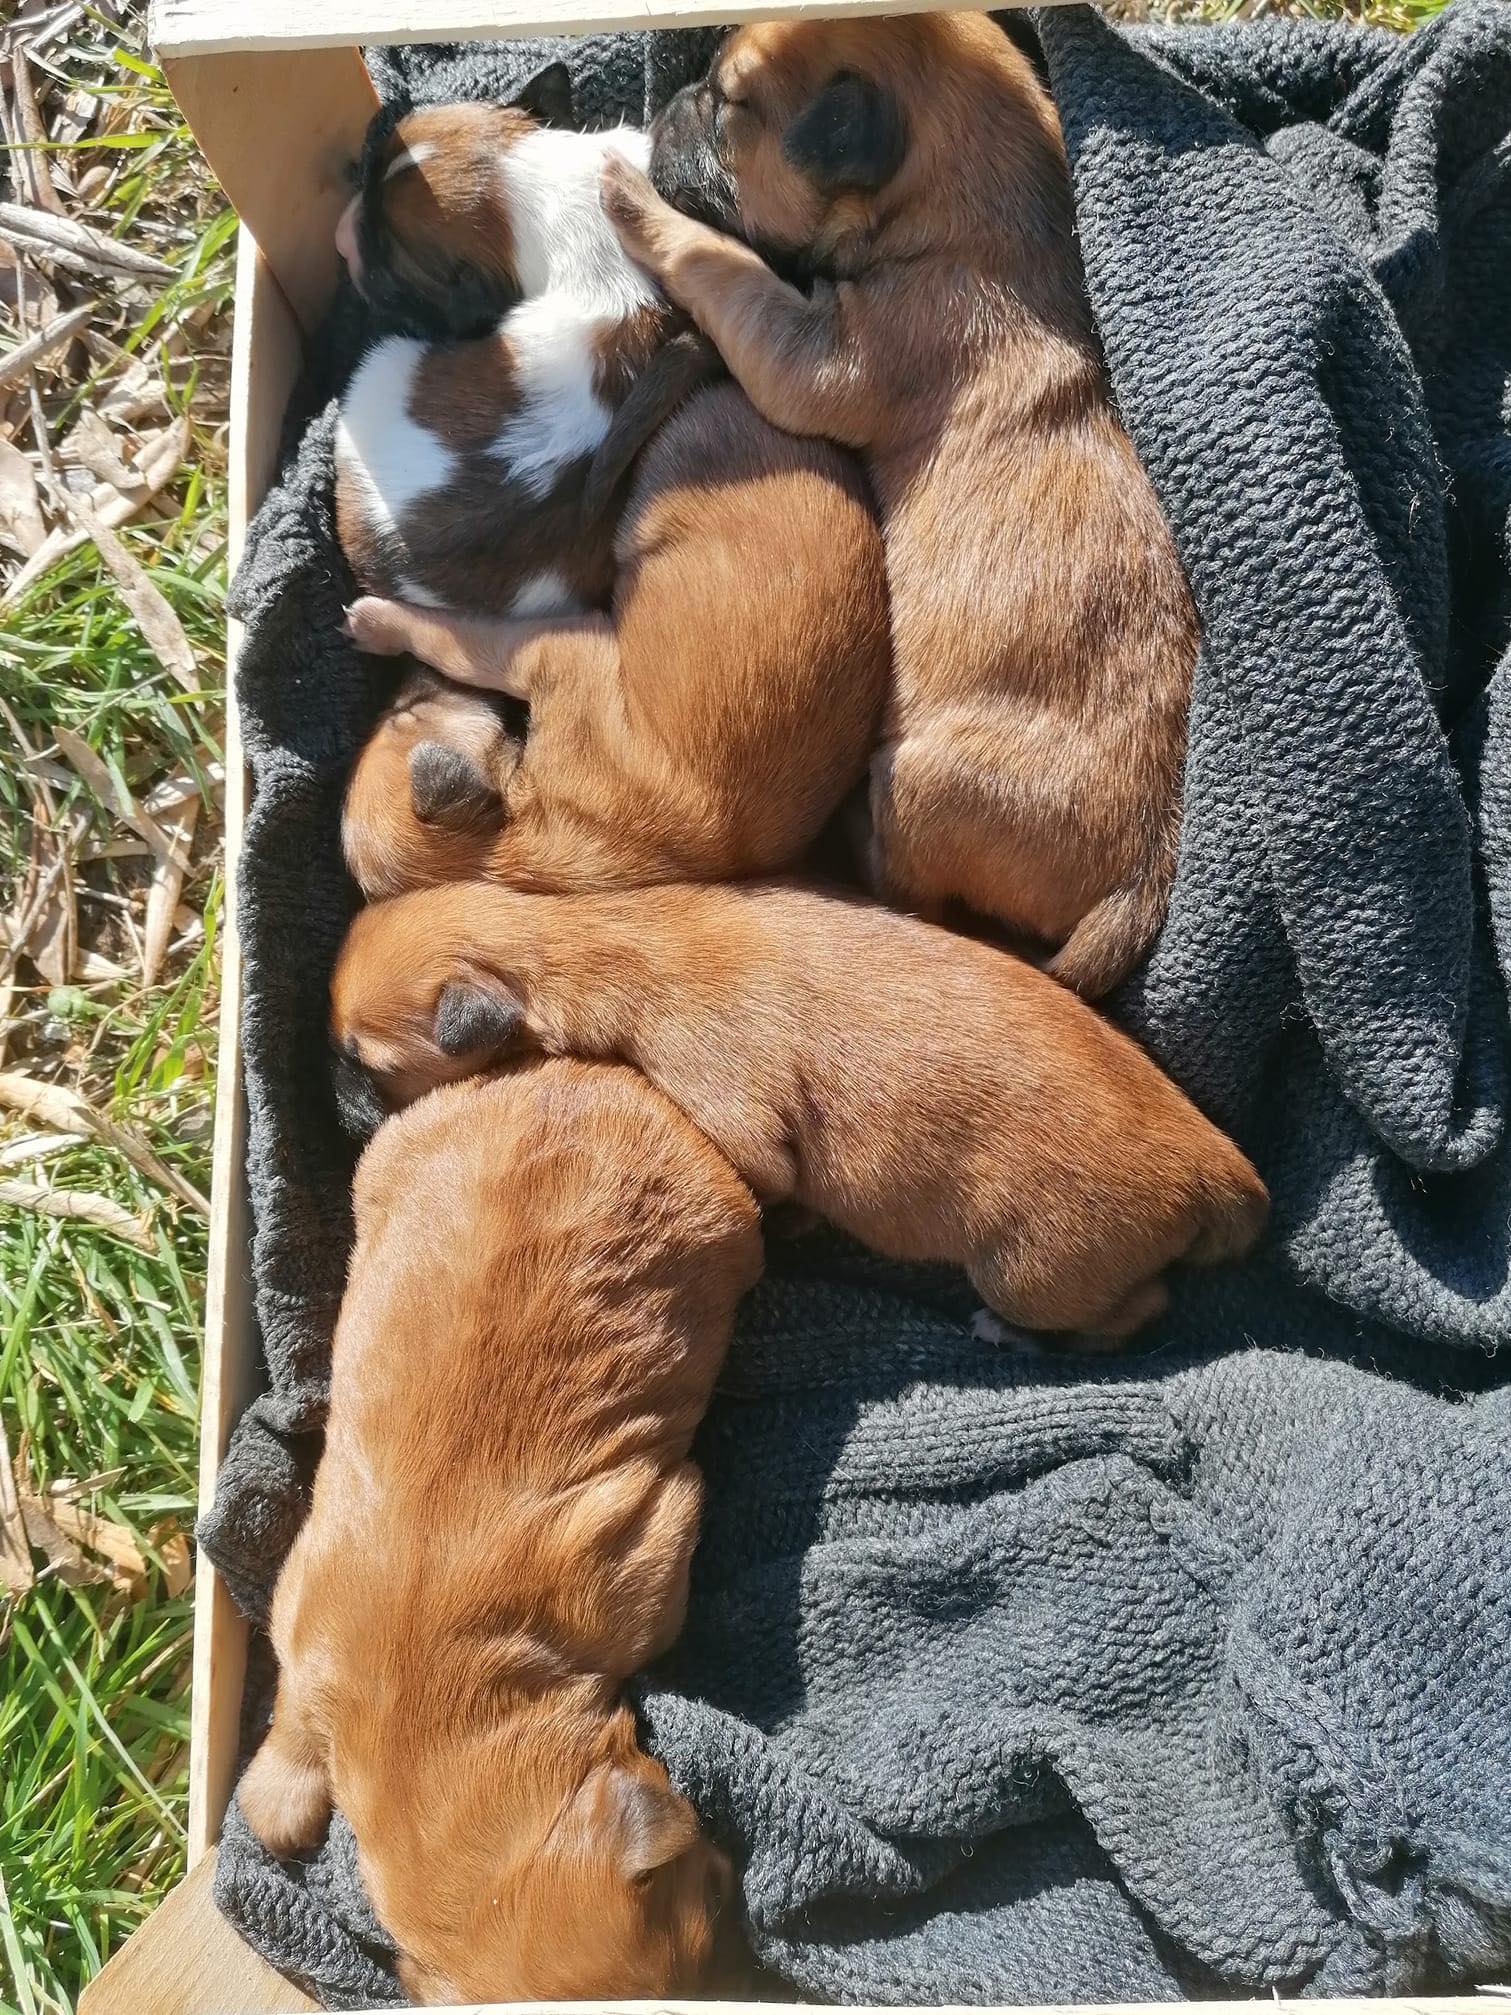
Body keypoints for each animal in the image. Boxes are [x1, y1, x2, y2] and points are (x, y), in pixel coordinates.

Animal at [237, 1063, 757, 2006]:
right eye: (711, 1885)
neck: (425, 1686)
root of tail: (575, 1076)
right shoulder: (305, 1618)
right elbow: (292, 1716)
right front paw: (282, 1799)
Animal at [340, 382, 886, 898]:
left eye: (404, 715)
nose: (403, 685)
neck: (516, 840)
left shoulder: (537, 651)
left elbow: (448, 638)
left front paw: (377, 622)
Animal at [596, 13, 1200, 991]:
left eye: (728, 106)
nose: (671, 102)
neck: (969, 230)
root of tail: (1144, 876)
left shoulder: (812, 353)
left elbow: (721, 265)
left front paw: (635, 200)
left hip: (919, 782)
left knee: (905, 874)